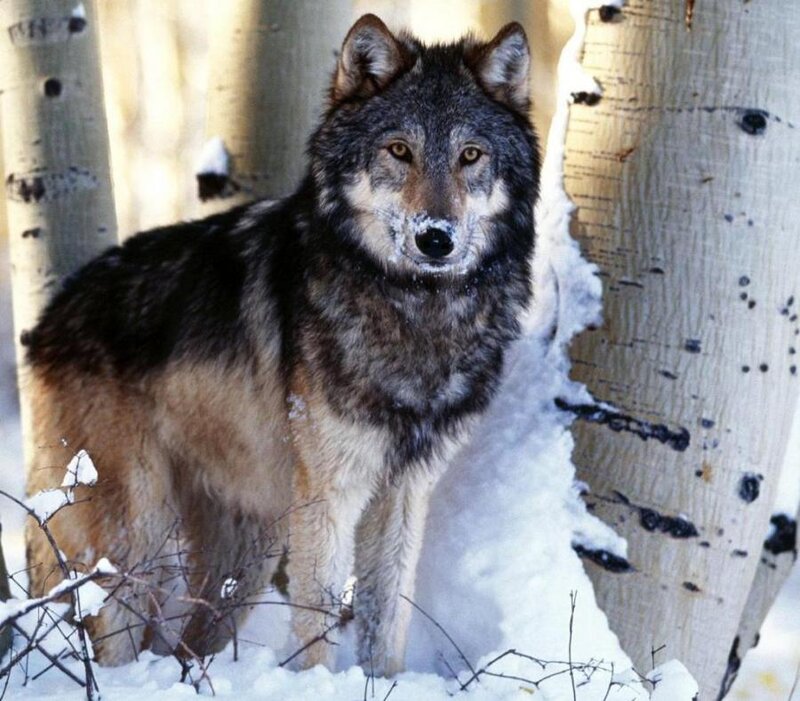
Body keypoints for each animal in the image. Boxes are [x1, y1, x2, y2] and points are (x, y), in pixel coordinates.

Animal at [23, 14, 539, 675]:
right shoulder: (330, 494)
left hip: (249, 551)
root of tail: (46, 321)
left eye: (470, 155)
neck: (417, 311)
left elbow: (386, 621)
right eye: (399, 150)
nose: (436, 238)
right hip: (137, 537)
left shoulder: (404, 493)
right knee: (112, 636)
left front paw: (381, 682)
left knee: (185, 646)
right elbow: (316, 624)